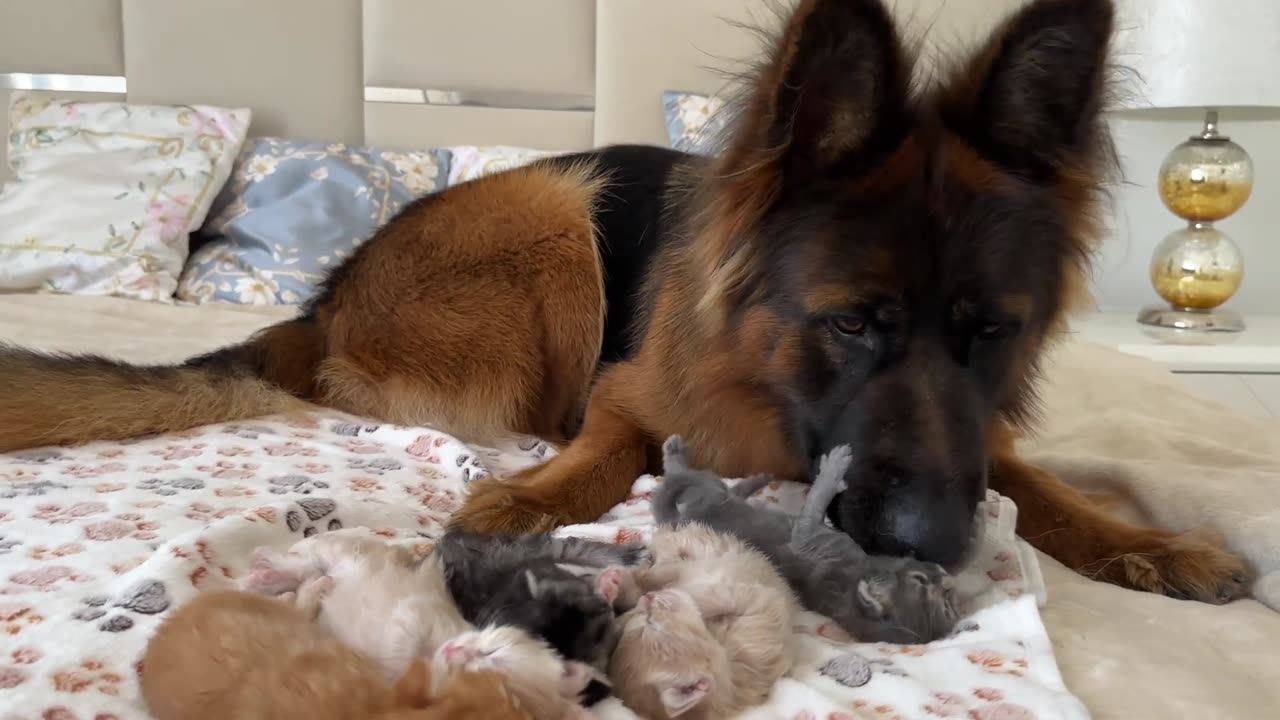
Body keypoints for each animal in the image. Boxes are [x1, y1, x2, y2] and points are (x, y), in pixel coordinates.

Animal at [0, 0, 1249, 599]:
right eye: (849, 322)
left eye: (993, 332)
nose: (934, 548)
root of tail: (322, 300)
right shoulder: (628, 394)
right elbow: (602, 447)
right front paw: (526, 497)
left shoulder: (972, 437)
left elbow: (1043, 488)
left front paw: (1150, 541)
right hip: (555, 208)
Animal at [650, 435, 962, 640]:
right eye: (920, 581)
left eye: (947, 608)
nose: (948, 580)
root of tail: (675, 523)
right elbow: (818, 498)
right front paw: (834, 467)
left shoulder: (808, 533)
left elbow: (816, 499)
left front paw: (833, 467)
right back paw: (753, 479)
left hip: (707, 493)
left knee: (687, 479)